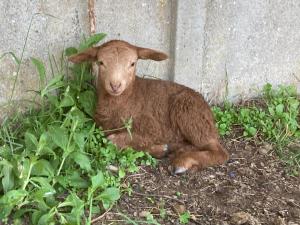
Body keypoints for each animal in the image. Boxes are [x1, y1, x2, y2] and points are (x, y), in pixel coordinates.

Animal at [69, 40, 230, 174]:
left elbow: (114, 139)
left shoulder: (152, 128)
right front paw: (159, 149)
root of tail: (207, 111)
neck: (128, 99)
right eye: (101, 62)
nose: (115, 85)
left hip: (190, 114)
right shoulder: (102, 126)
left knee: (219, 151)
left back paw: (182, 162)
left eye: (132, 63)